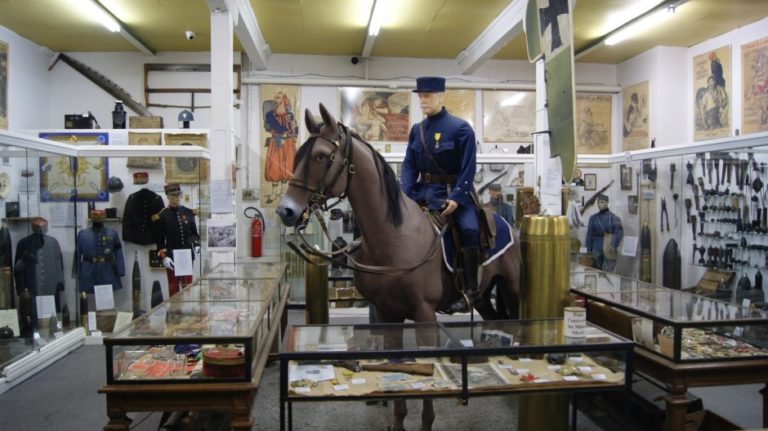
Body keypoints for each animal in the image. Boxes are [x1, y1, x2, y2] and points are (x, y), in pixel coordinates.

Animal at [277, 103, 521, 431]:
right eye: (298, 155)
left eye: (319, 156)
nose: (286, 210)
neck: (393, 240)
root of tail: (505, 222)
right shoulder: (385, 313)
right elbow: (396, 361)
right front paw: (397, 419)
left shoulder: (424, 314)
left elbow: (426, 361)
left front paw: (426, 420)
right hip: (483, 297)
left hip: (512, 289)